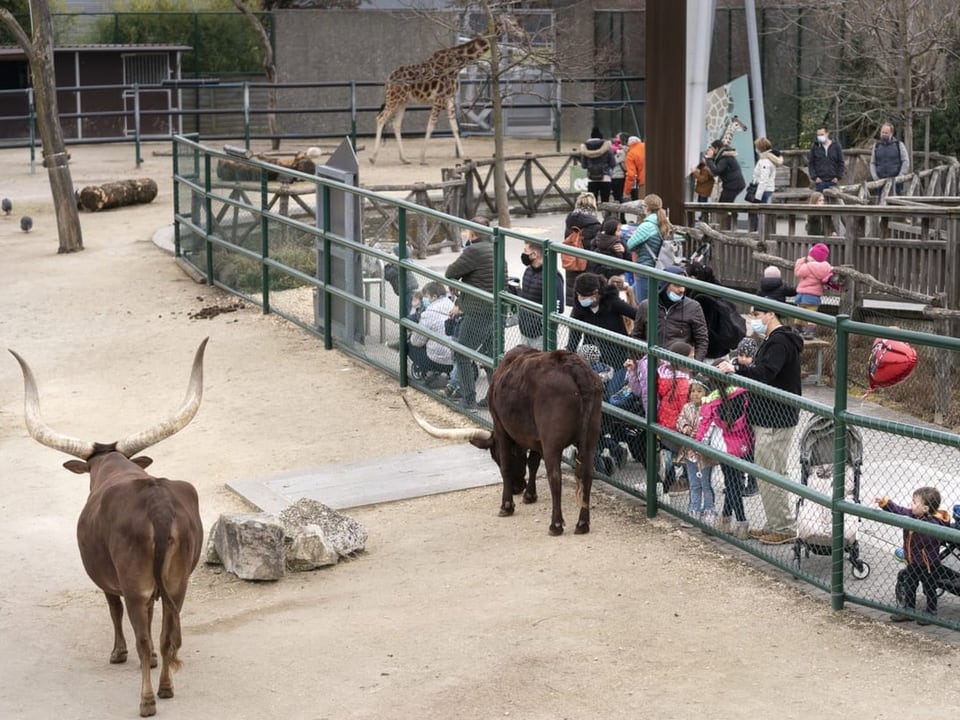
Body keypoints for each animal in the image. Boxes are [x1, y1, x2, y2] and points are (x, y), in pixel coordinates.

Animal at [8, 340, 208, 716]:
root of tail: (157, 505)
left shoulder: (109, 583)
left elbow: (113, 611)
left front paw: (117, 653)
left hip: (136, 586)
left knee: (142, 636)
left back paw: (146, 701)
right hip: (177, 585)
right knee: (166, 635)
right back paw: (165, 688)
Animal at [368, 17, 520, 165]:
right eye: (513, 24)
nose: (521, 33)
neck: (458, 64)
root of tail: (388, 79)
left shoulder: (449, 97)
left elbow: (454, 127)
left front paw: (464, 157)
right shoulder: (439, 97)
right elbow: (431, 125)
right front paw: (422, 158)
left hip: (403, 100)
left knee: (396, 123)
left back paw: (404, 159)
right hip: (394, 98)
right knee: (380, 118)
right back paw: (373, 158)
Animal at [404, 346, 600, 536]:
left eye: (495, 457)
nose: (516, 488)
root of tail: (574, 367)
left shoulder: (502, 430)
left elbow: (507, 467)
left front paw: (507, 505)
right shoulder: (536, 437)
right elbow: (533, 462)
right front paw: (529, 495)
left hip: (553, 443)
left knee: (555, 477)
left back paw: (556, 524)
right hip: (589, 440)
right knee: (586, 474)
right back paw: (583, 523)